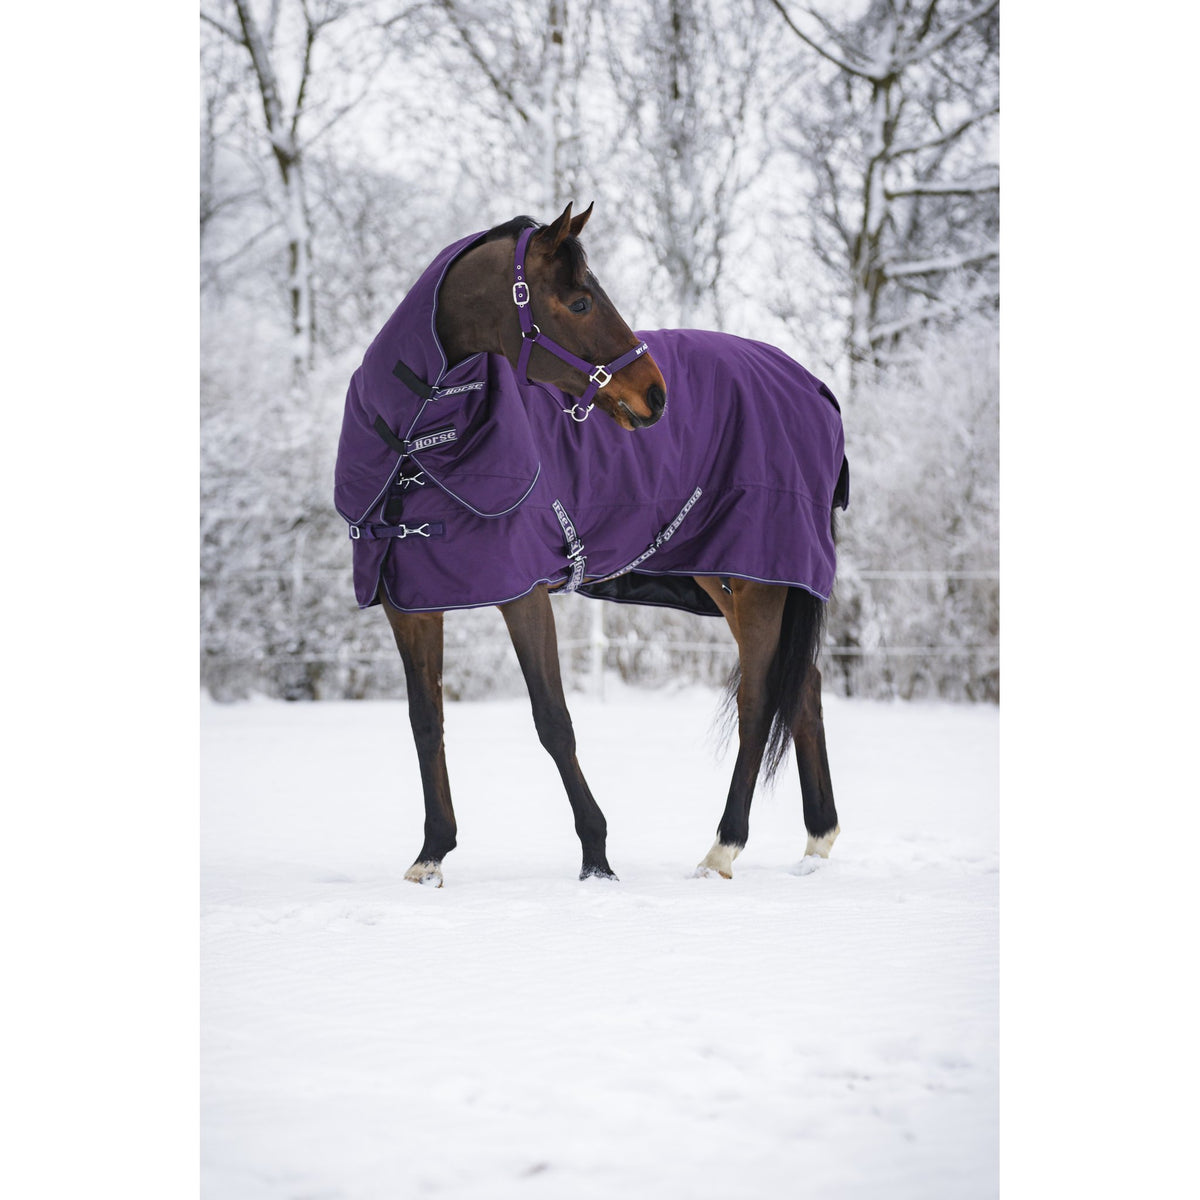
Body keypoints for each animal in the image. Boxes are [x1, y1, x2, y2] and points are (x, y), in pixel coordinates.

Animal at [334, 202, 847, 885]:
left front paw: (596, 857)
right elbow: (427, 721)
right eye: (579, 302)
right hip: (728, 578)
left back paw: (723, 847)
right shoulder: (409, 603)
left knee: (759, 698)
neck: (416, 448)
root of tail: (813, 386)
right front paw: (431, 854)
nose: (656, 394)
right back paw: (816, 843)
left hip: (757, 576)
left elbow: (553, 721)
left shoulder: (522, 593)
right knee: (804, 689)